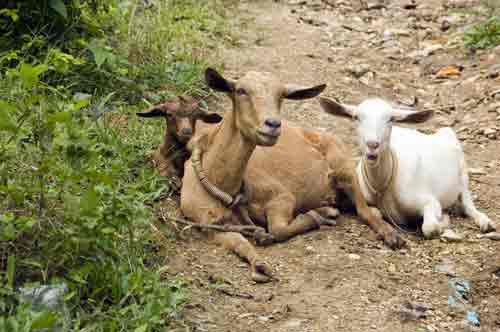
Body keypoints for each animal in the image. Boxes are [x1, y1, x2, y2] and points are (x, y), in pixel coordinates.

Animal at [181, 68, 406, 282]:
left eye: (281, 95)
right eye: (241, 91)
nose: (272, 124)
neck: (220, 182)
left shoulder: (282, 197)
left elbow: (278, 229)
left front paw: (315, 217)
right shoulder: (210, 227)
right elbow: (238, 241)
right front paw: (259, 265)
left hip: (343, 165)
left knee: (364, 210)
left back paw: (389, 234)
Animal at [320, 97, 496, 237]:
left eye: (390, 119)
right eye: (356, 117)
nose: (372, 145)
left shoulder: (430, 201)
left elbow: (430, 228)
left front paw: (444, 220)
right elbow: (374, 212)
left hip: (463, 172)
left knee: (467, 202)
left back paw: (485, 222)